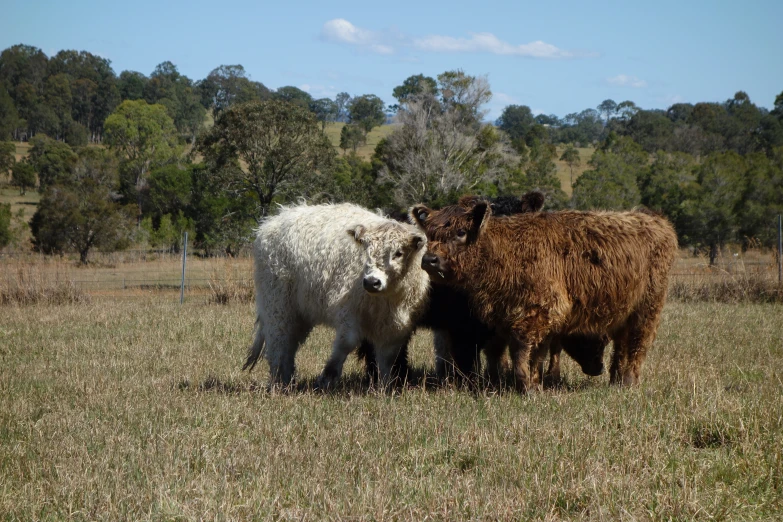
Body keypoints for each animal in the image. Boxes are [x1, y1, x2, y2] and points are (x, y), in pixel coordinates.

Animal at [243, 202, 428, 386]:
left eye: (398, 253)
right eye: (366, 250)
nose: (371, 282)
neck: (386, 298)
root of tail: (271, 222)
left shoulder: (395, 325)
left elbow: (388, 358)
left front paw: (386, 385)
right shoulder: (347, 310)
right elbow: (347, 342)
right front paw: (327, 377)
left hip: (299, 314)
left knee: (290, 344)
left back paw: (287, 380)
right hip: (277, 304)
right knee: (278, 342)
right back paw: (278, 381)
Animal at [414, 197, 676, 392]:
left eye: (460, 231)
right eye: (429, 234)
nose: (429, 259)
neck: (504, 250)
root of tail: (654, 220)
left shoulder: (538, 312)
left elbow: (524, 352)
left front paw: (527, 387)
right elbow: (528, 352)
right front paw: (532, 384)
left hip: (646, 309)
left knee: (636, 344)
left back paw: (628, 383)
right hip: (625, 313)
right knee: (622, 346)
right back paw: (615, 381)